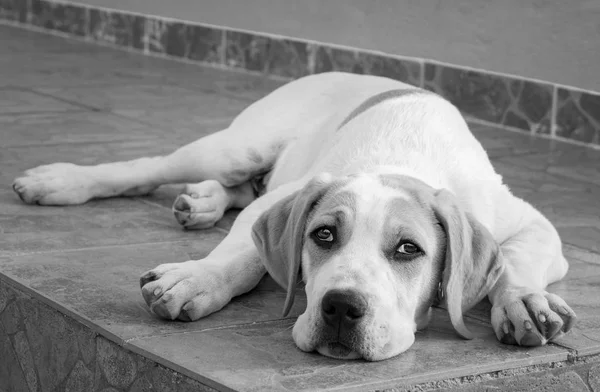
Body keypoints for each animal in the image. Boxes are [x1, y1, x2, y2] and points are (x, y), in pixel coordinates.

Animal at [12, 71, 576, 362]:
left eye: (408, 250)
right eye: (323, 235)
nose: (341, 308)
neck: (403, 164)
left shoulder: (534, 224)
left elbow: (517, 259)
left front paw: (524, 302)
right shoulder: (281, 203)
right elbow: (242, 255)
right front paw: (198, 279)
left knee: (239, 187)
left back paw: (203, 201)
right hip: (237, 146)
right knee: (150, 168)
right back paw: (60, 181)